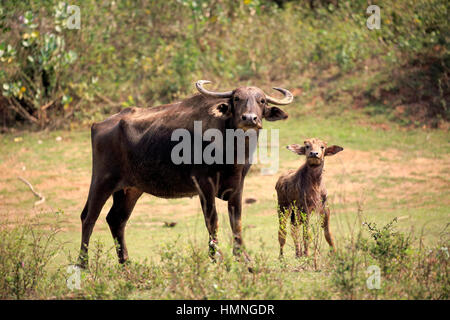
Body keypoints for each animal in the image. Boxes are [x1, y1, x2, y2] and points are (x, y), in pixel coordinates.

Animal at [79, 80, 294, 268]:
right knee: (89, 217)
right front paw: (216, 256)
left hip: (130, 189)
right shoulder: (204, 184)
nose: (249, 118)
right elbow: (212, 220)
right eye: (236, 98)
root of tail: (99, 125)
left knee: (116, 219)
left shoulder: (238, 184)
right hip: (102, 180)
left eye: (262, 100)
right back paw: (83, 263)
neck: (231, 149)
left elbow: (237, 220)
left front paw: (243, 257)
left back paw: (125, 263)